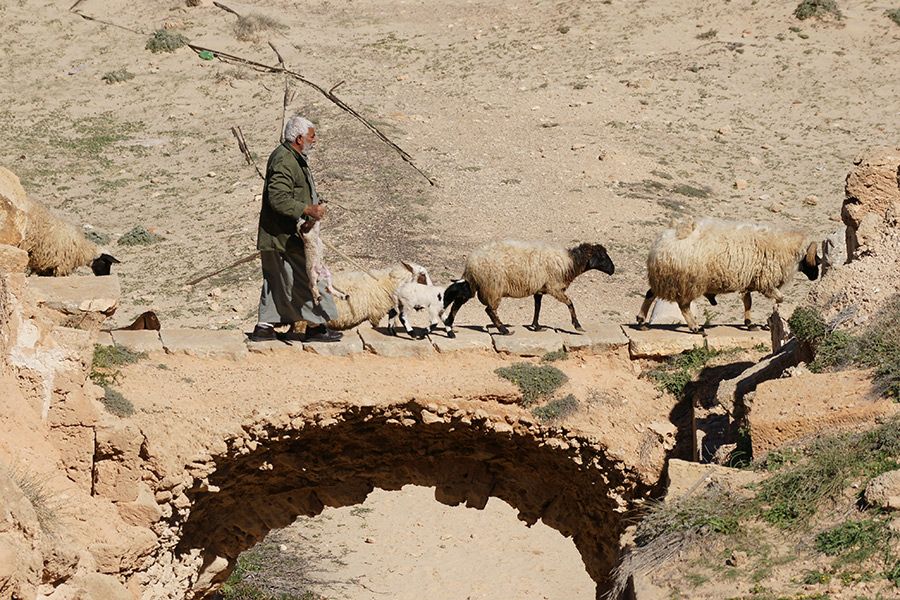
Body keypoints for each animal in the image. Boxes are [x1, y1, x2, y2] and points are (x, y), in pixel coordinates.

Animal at [444, 240, 616, 336]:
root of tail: (471, 263)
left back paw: (450, 323)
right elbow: (570, 303)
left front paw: (536, 326)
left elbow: (537, 307)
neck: (570, 263)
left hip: (473, 284)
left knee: (458, 302)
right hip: (493, 287)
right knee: (490, 310)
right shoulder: (554, 287)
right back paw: (504, 330)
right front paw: (577, 325)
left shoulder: (539, 288)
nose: (613, 270)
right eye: (602, 256)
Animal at [632, 218, 824, 336]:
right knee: (684, 305)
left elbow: (747, 301)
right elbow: (780, 298)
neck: (785, 248)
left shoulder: (749, 280)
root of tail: (664, 242)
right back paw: (696, 328)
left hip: (665, 279)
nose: (816, 276)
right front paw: (770, 318)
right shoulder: (766, 282)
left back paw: (641, 321)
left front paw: (750, 323)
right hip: (688, 281)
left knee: (650, 293)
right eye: (814, 257)